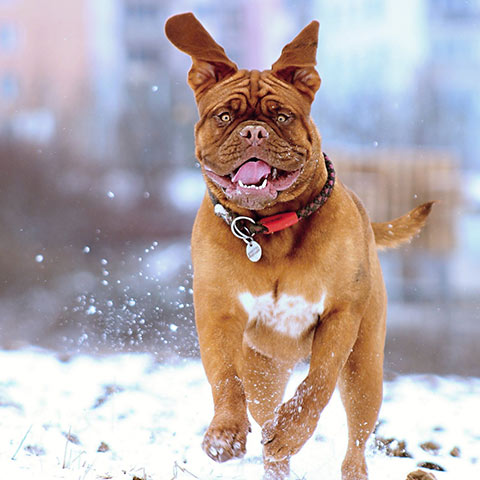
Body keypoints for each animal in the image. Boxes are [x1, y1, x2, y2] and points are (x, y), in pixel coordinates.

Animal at [166, 13, 436, 478]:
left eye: (282, 115)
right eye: (224, 115)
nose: (254, 131)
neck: (268, 228)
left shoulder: (340, 316)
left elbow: (318, 383)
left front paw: (291, 430)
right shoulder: (218, 313)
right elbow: (224, 377)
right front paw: (224, 433)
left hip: (365, 368)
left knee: (355, 438)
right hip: (264, 372)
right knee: (261, 407)